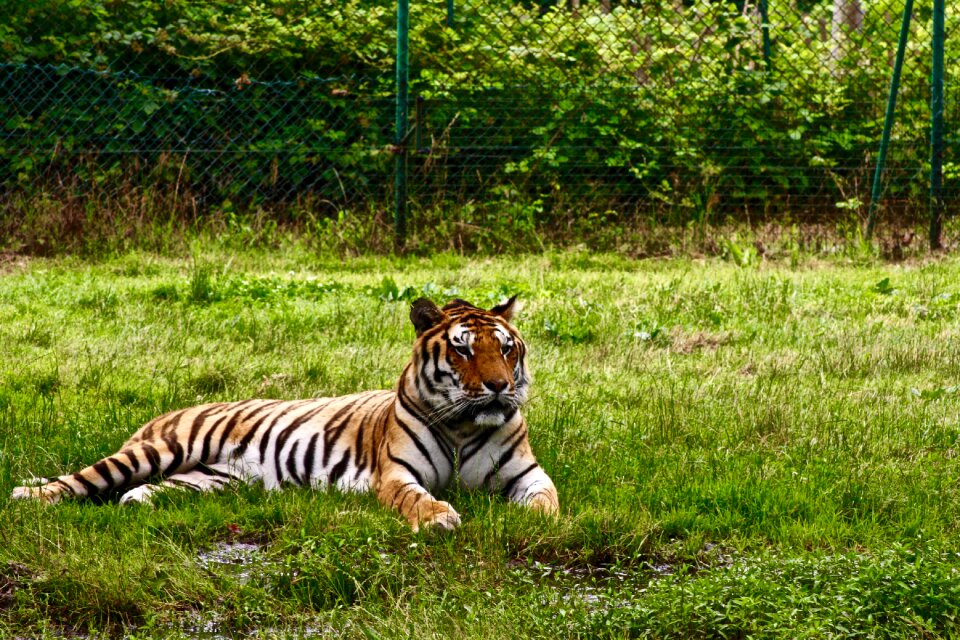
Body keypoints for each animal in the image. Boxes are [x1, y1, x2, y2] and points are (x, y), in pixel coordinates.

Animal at [11, 296, 560, 528]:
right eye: (464, 350)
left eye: (506, 349)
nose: (499, 387)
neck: (466, 427)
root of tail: (159, 417)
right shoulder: (397, 475)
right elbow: (417, 499)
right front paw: (440, 516)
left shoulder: (527, 473)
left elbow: (546, 499)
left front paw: (538, 521)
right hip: (157, 450)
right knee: (80, 480)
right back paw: (28, 497)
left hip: (207, 481)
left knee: (137, 493)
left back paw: (136, 503)